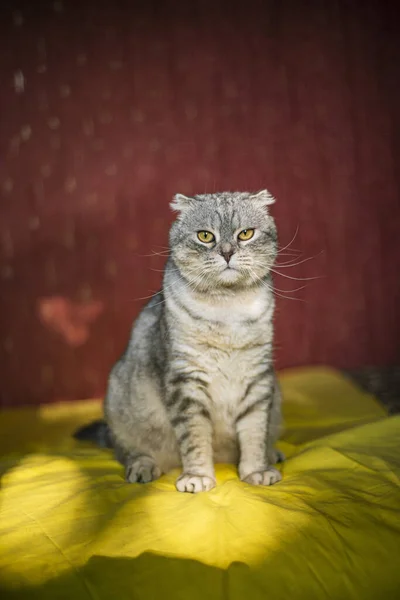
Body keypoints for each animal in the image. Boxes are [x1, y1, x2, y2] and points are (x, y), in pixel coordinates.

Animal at [74, 191, 282, 492]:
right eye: (205, 236)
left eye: (246, 233)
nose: (227, 252)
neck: (227, 308)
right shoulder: (186, 381)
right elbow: (195, 439)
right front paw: (198, 476)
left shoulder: (257, 378)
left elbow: (254, 431)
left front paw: (256, 470)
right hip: (119, 404)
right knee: (128, 450)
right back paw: (143, 467)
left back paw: (272, 453)